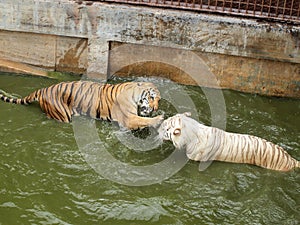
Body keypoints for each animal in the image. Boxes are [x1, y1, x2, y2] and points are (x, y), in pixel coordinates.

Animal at [0, 81, 164, 130]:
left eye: (159, 100)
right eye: (151, 97)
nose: (155, 108)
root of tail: (43, 89)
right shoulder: (128, 118)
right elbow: (142, 120)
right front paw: (160, 119)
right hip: (63, 115)